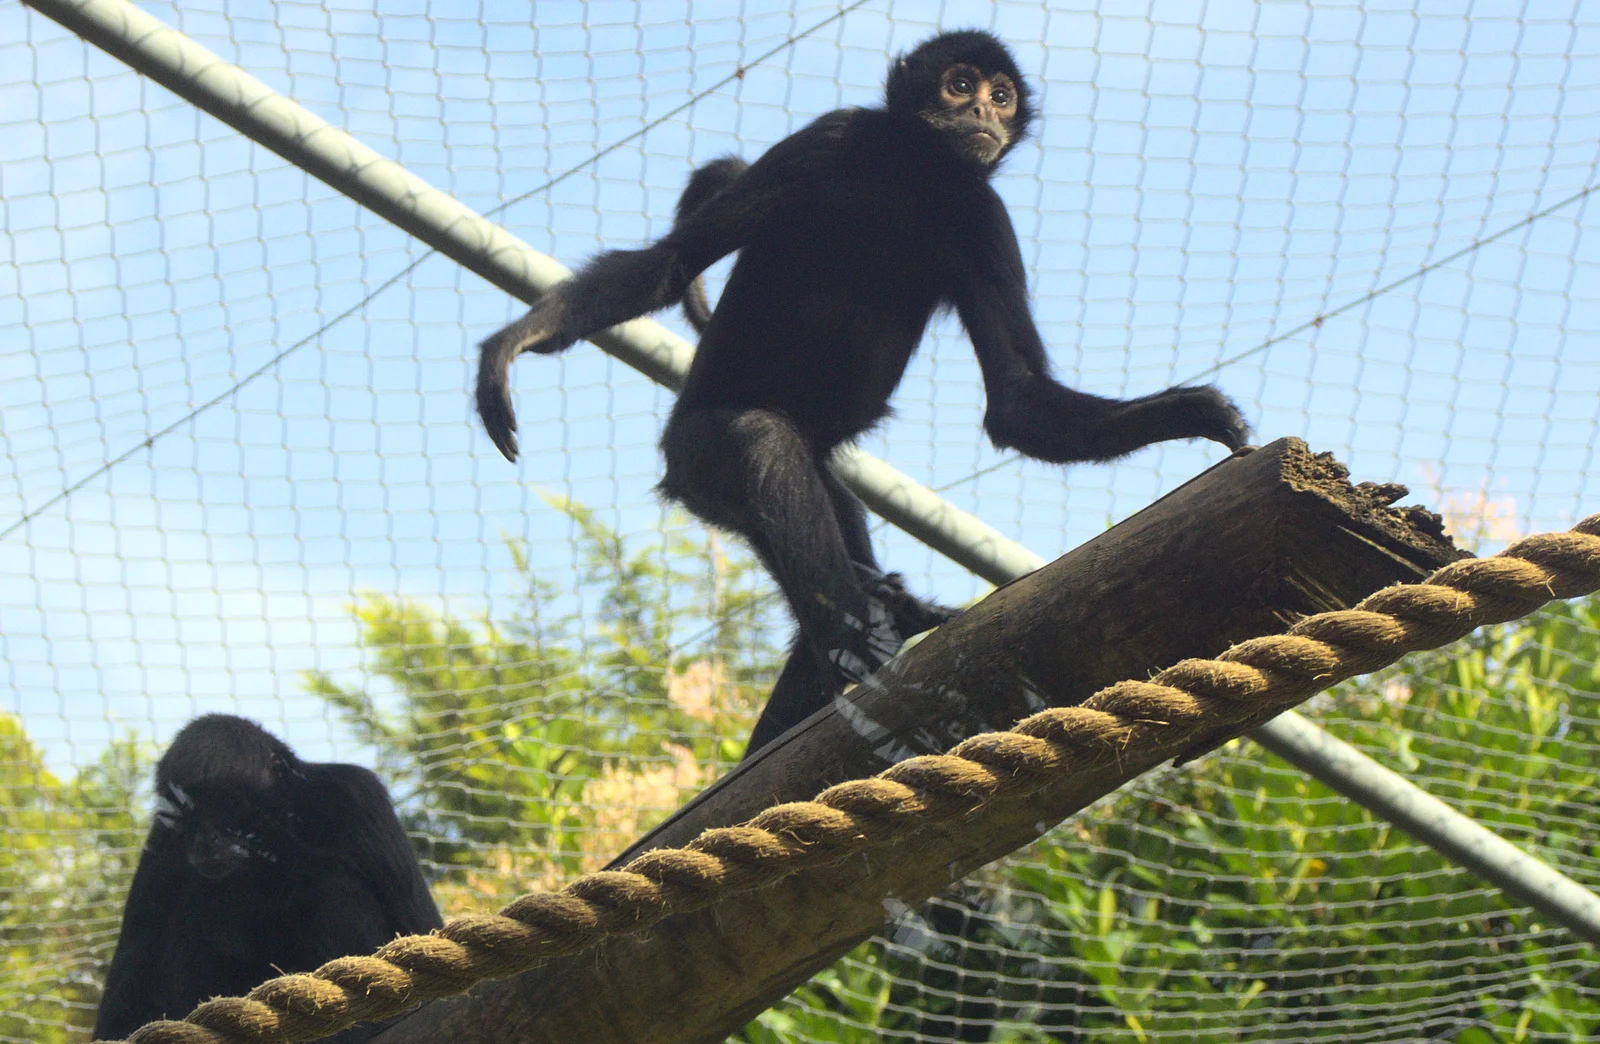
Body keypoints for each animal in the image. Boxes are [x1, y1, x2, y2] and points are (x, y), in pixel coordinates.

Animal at [95, 714, 444, 1037]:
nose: (207, 839)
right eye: (190, 812)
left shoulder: (355, 795)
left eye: (229, 803)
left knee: (335, 885)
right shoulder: (163, 839)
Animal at [473, 28, 1248, 755]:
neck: (909, 175)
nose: (979, 112)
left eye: (1002, 97)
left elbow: (1018, 400)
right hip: (695, 462)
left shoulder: (980, 210)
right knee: (759, 440)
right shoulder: (832, 136)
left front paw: (1189, 413)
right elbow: (670, 261)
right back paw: (861, 645)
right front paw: (509, 345)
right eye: (959, 84)